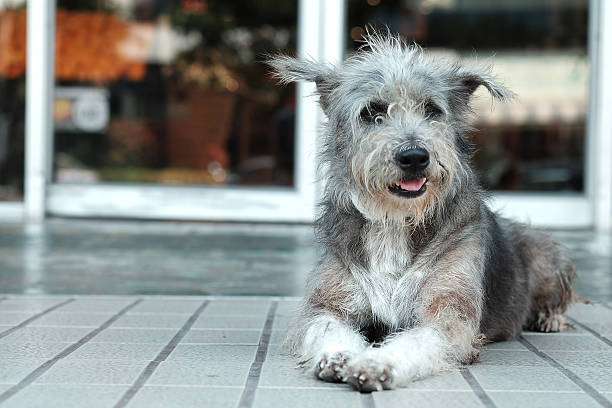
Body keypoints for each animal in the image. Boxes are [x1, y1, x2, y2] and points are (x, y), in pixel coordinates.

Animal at [268, 33, 580, 394]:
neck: (395, 221)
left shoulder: (448, 312)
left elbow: (417, 340)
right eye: (371, 111)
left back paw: (551, 318)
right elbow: (327, 326)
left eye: (432, 110)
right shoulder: (327, 304)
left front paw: (377, 363)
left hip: (544, 255)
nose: (414, 156)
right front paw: (338, 356)